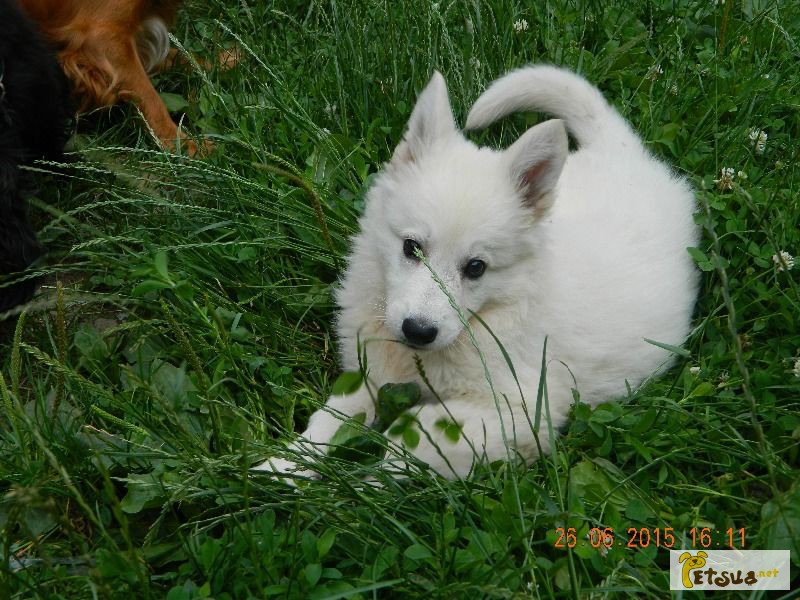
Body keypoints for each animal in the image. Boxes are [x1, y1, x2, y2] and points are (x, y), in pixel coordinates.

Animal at [256, 64, 700, 478]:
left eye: (476, 267)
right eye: (411, 247)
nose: (418, 331)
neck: (490, 317)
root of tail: (624, 153)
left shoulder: (521, 410)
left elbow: (411, 436)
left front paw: (367, 483)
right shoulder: (372, 373)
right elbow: (332, 418)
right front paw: (282, 469)